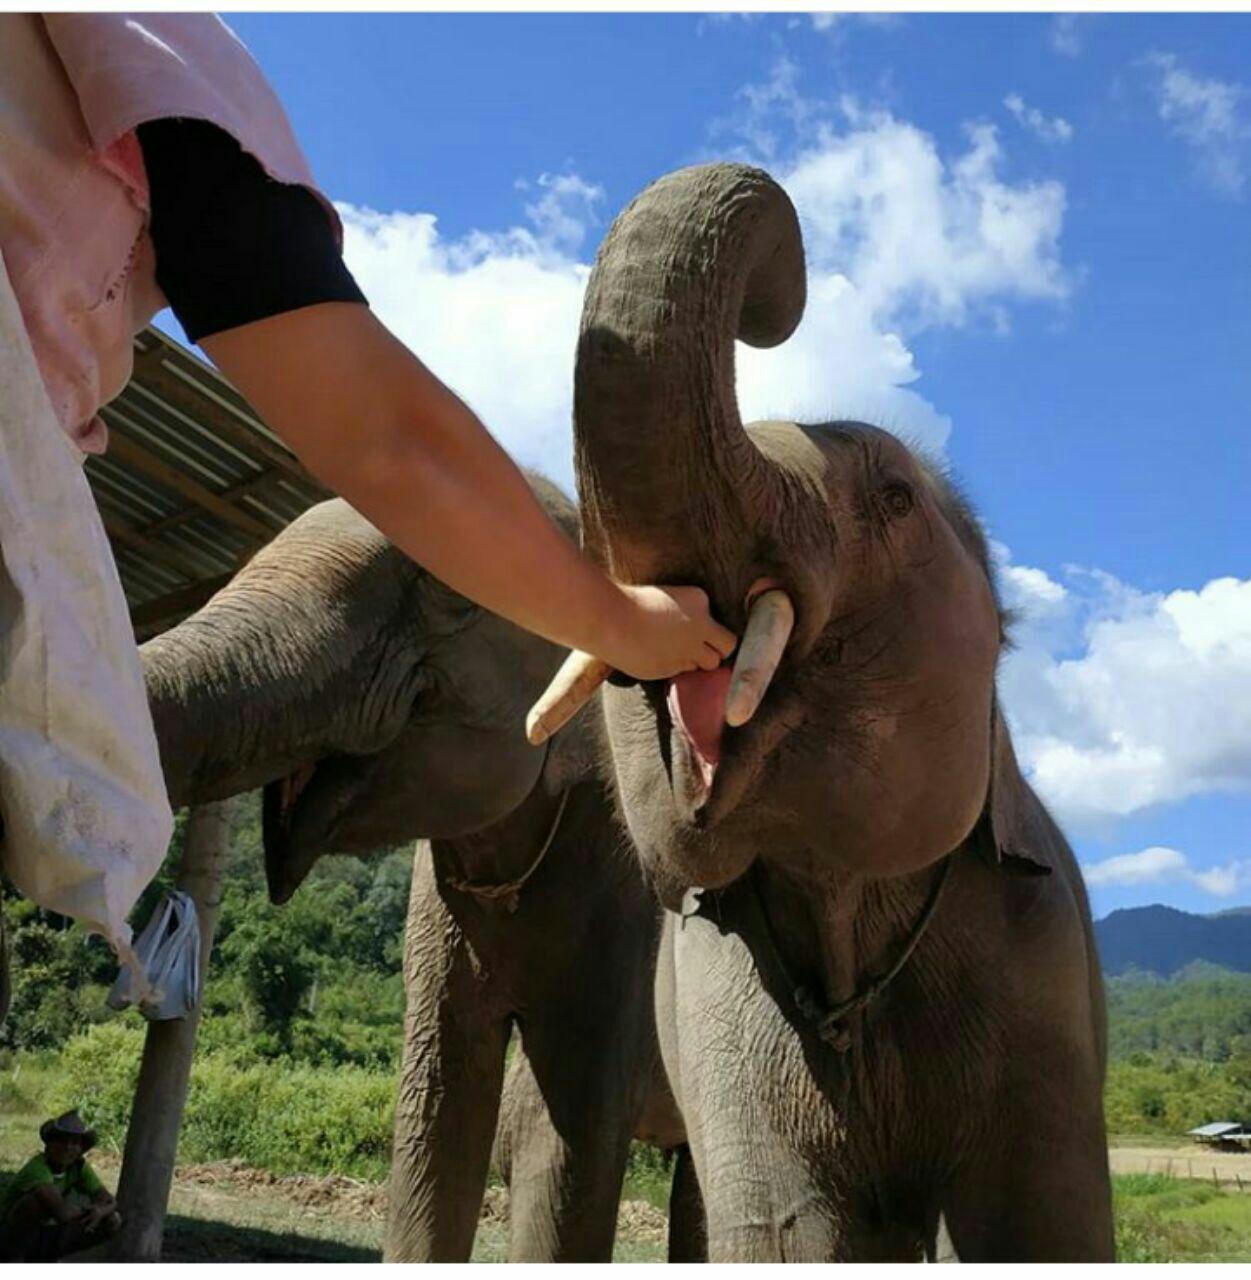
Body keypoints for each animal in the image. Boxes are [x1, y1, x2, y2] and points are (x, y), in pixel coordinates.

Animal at [558, 165, 1111, 1264]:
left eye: (895, 496)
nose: (776, 307)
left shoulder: (1041, 967)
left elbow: (1039, 1224)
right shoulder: (726, 984)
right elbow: (785, 1224)